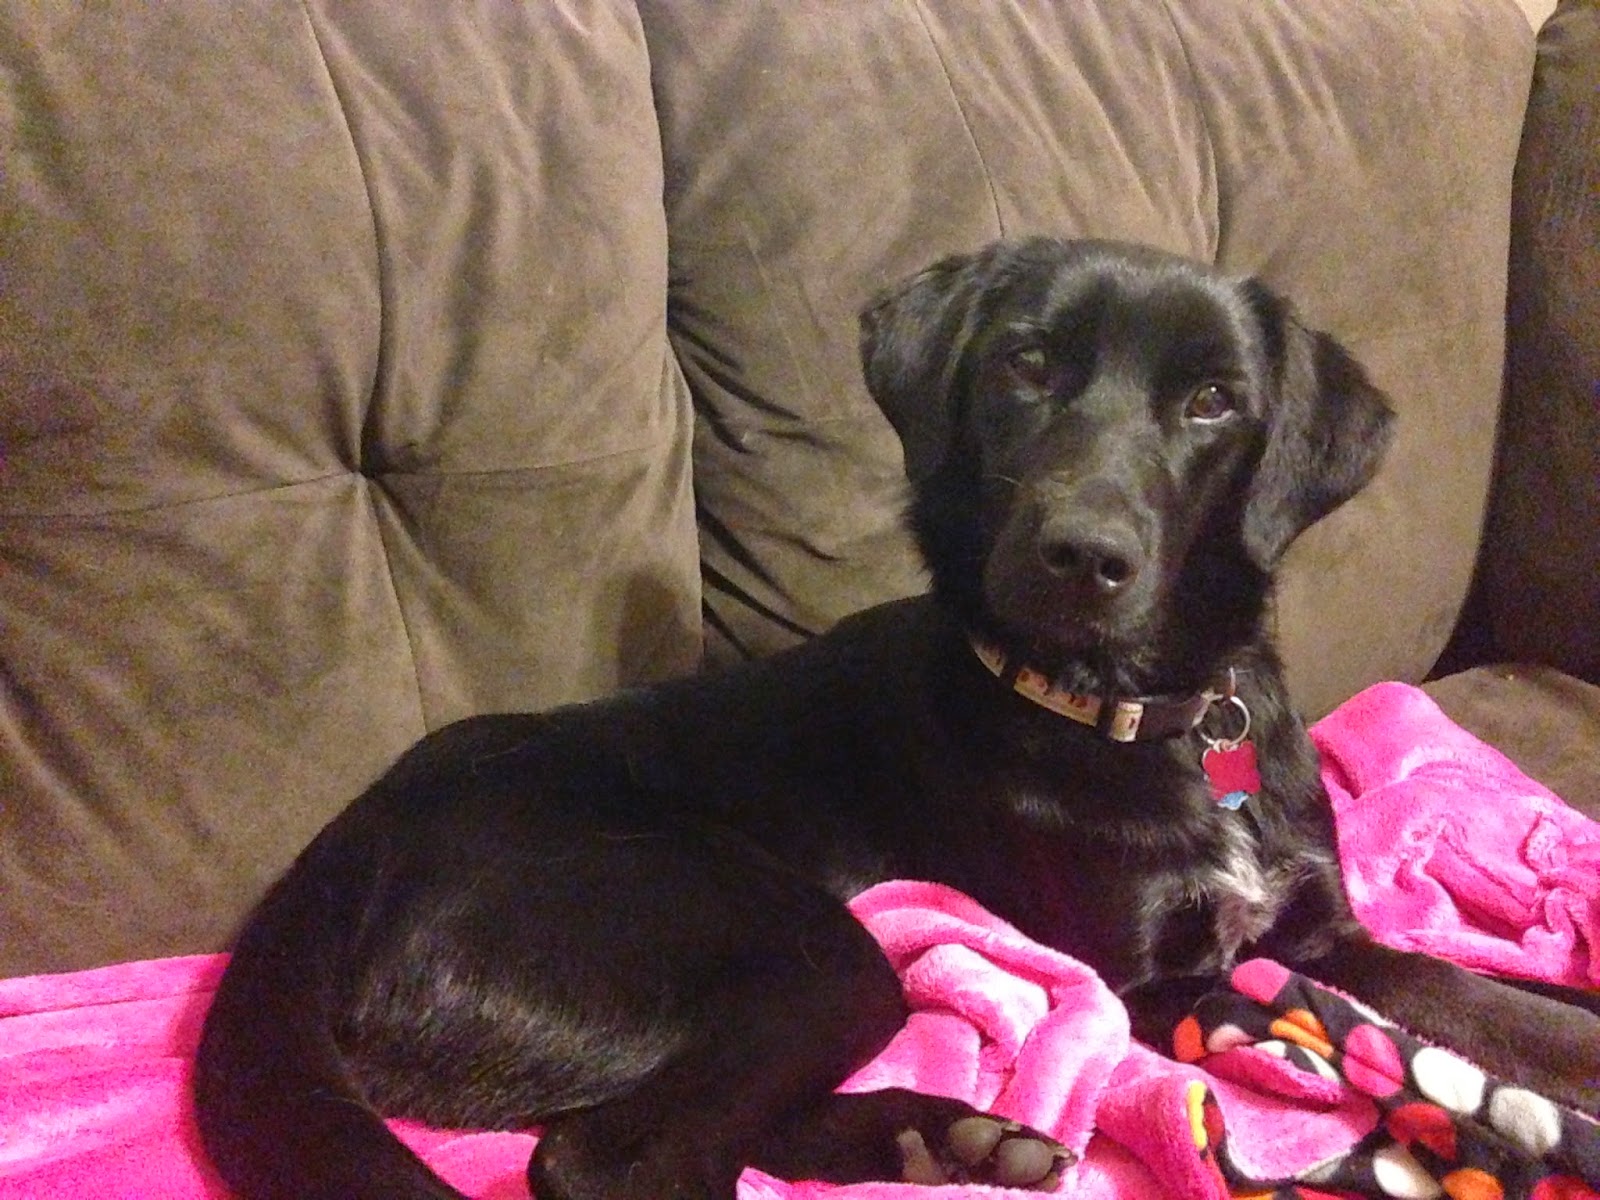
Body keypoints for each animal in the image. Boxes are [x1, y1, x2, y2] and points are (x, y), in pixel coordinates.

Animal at [194, 238, 1600, 1200]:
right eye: (1027, 363)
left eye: (1212, 400)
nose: (1080, 556)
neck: (1144, 709)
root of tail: (335, 855)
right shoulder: (1152, 983)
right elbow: (1346, 1038)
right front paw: (1464, 1121)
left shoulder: (1327, 927)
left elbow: (1486, 999)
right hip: (789, 939)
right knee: (606, 1157)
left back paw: (945, 1136)